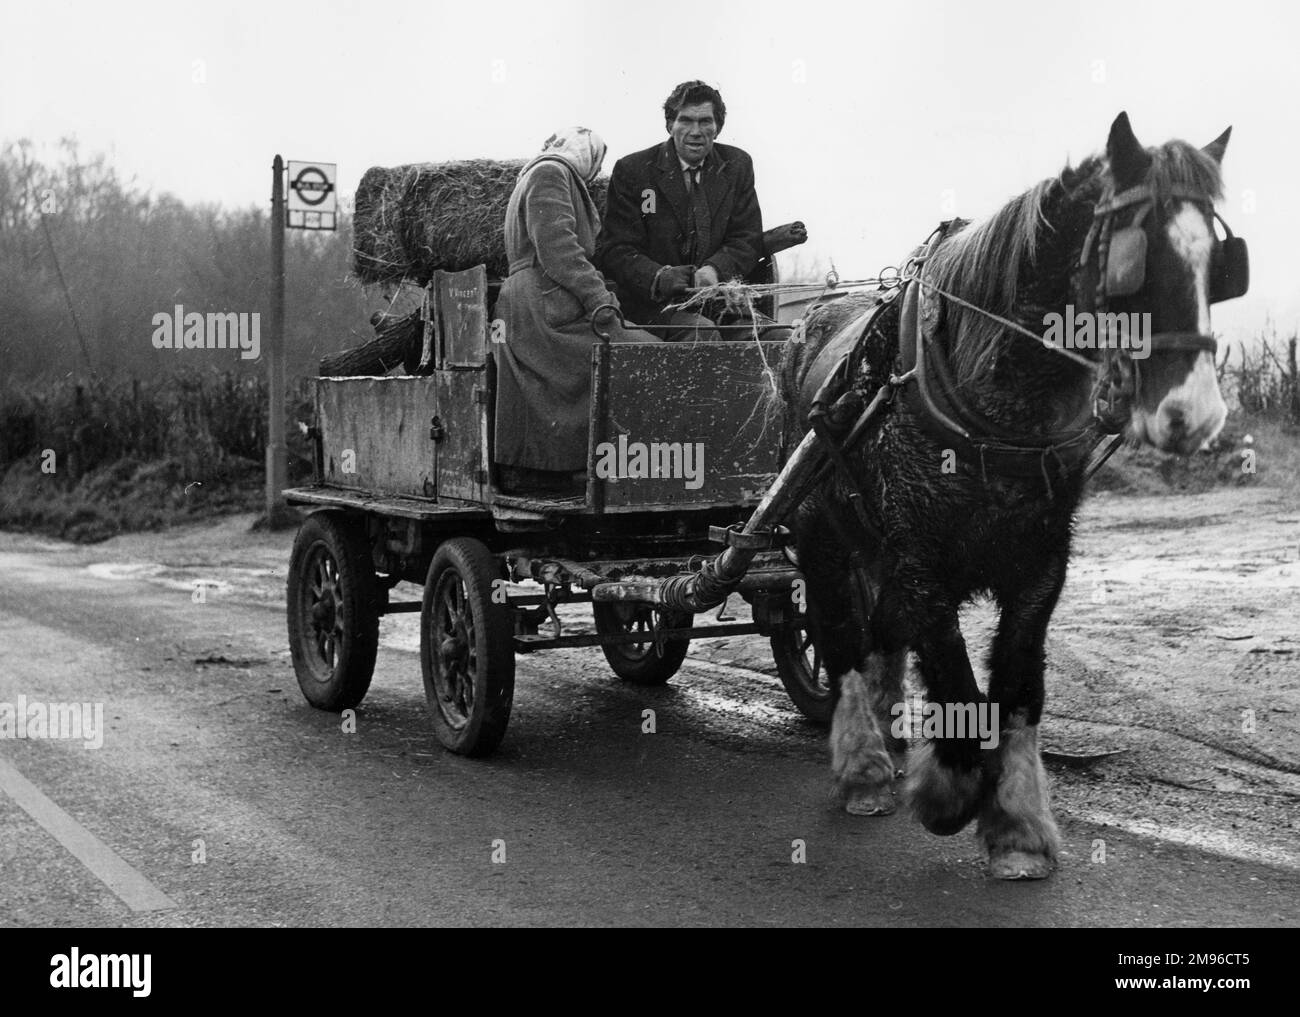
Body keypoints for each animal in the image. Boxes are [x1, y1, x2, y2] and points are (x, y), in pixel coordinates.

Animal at [785, 109, 1242, 873]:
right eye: (1134, 258)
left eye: (1220, 262)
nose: (1198, 413)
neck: (993, 406)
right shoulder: (919, 557)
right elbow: (951, 665)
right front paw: (950, 790)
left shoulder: (1042, 561)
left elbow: (1020, 680)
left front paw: (1018, 823)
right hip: (818, 530)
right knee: (839, 634)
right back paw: (864, 766)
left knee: (878, 636)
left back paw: (886, 733)